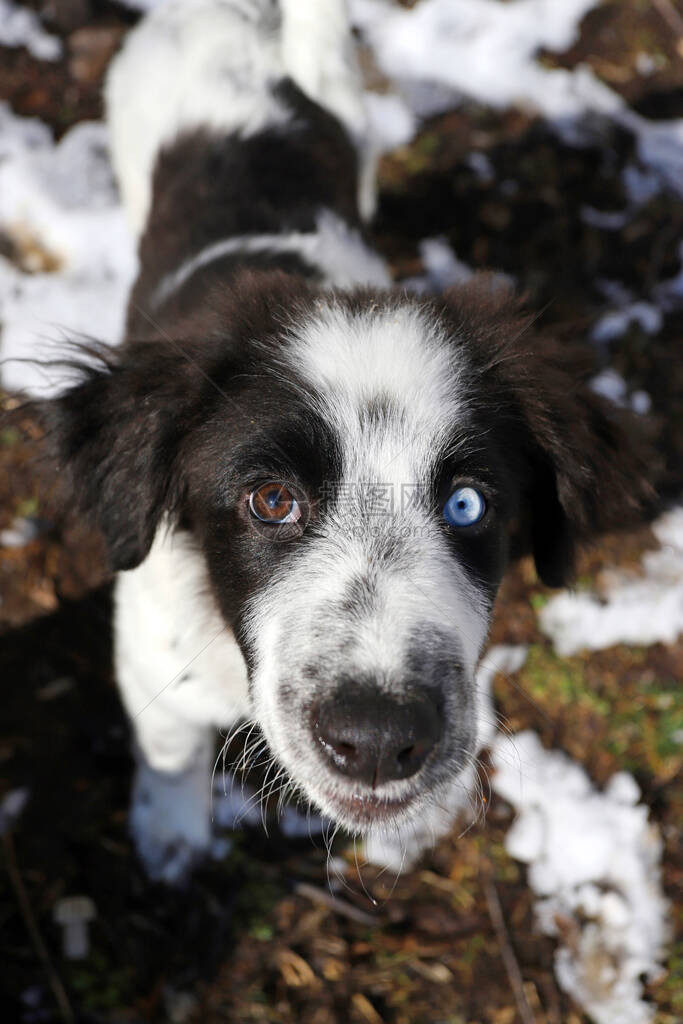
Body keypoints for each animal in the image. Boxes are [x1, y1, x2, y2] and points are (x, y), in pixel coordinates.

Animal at [37, 0, 647, 880]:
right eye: (270, 499)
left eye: (467, 505)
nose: (380, 739)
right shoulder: (150, 649)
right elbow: (170, 747)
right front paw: (170, 837)